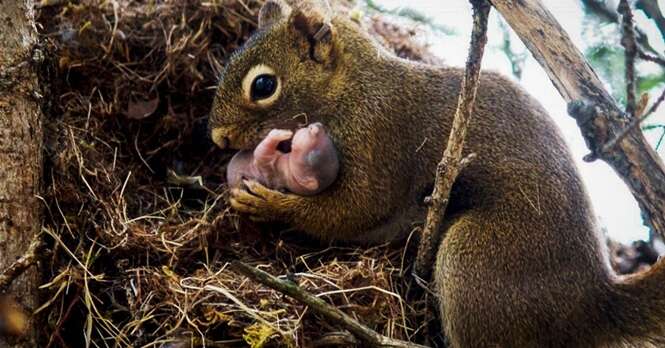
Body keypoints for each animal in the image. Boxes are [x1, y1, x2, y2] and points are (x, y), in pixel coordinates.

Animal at [210, 1, 664, 346]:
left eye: (264, 85)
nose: (217, 137)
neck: (352, 89)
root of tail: (593, 305)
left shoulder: (380, 136)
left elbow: (355, 210)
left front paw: (269, 203)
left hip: (477, 261)